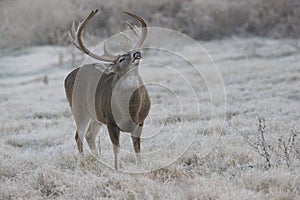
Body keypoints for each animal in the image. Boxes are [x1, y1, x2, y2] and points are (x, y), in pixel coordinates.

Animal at [64, 9, 151, 170]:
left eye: (133, 51)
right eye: (121, 59)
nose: (136, 53)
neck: (130, 110)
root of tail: (68, 76)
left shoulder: (140, 121)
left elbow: (137, 149)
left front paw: (140, 167)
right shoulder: (111, 121)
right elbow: (116, 148)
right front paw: (117, 169)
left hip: (95, 116)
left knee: (89, 135)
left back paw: (99, 161)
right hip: (78, 109)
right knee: (79, 136)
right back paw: (83, 162)